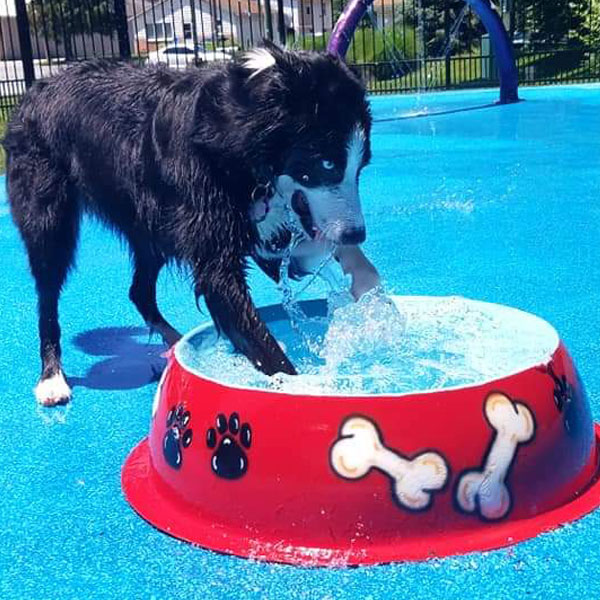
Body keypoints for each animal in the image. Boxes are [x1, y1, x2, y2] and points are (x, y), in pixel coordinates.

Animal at [4, 44, 376, 406]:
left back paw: (175, 345)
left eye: (362, 166)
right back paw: (52, 378)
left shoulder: (270, 224)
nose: (357, 233)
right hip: (50, 218)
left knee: (139, 290)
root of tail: (38, 86)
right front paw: (307, 390)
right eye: (327, 164)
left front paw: (369, 296)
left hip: (151, 228)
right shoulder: (216, 253)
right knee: (48, 294)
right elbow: (254, 331)